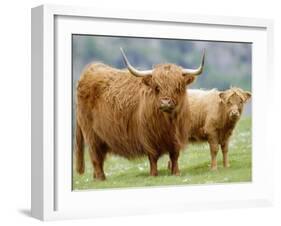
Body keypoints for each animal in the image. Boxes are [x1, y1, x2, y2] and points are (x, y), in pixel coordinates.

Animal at [75, 48, 205, 180]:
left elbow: (174, 156)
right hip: (91, 135)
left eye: (177, 87)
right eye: (157, 87)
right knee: (95, 157)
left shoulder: (177, 138)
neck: (168, 123)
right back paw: (101, 178)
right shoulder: (148, 137)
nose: (165, 102)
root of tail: (91, 69)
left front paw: (176, 173)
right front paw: (153, 174)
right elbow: (153, 158)